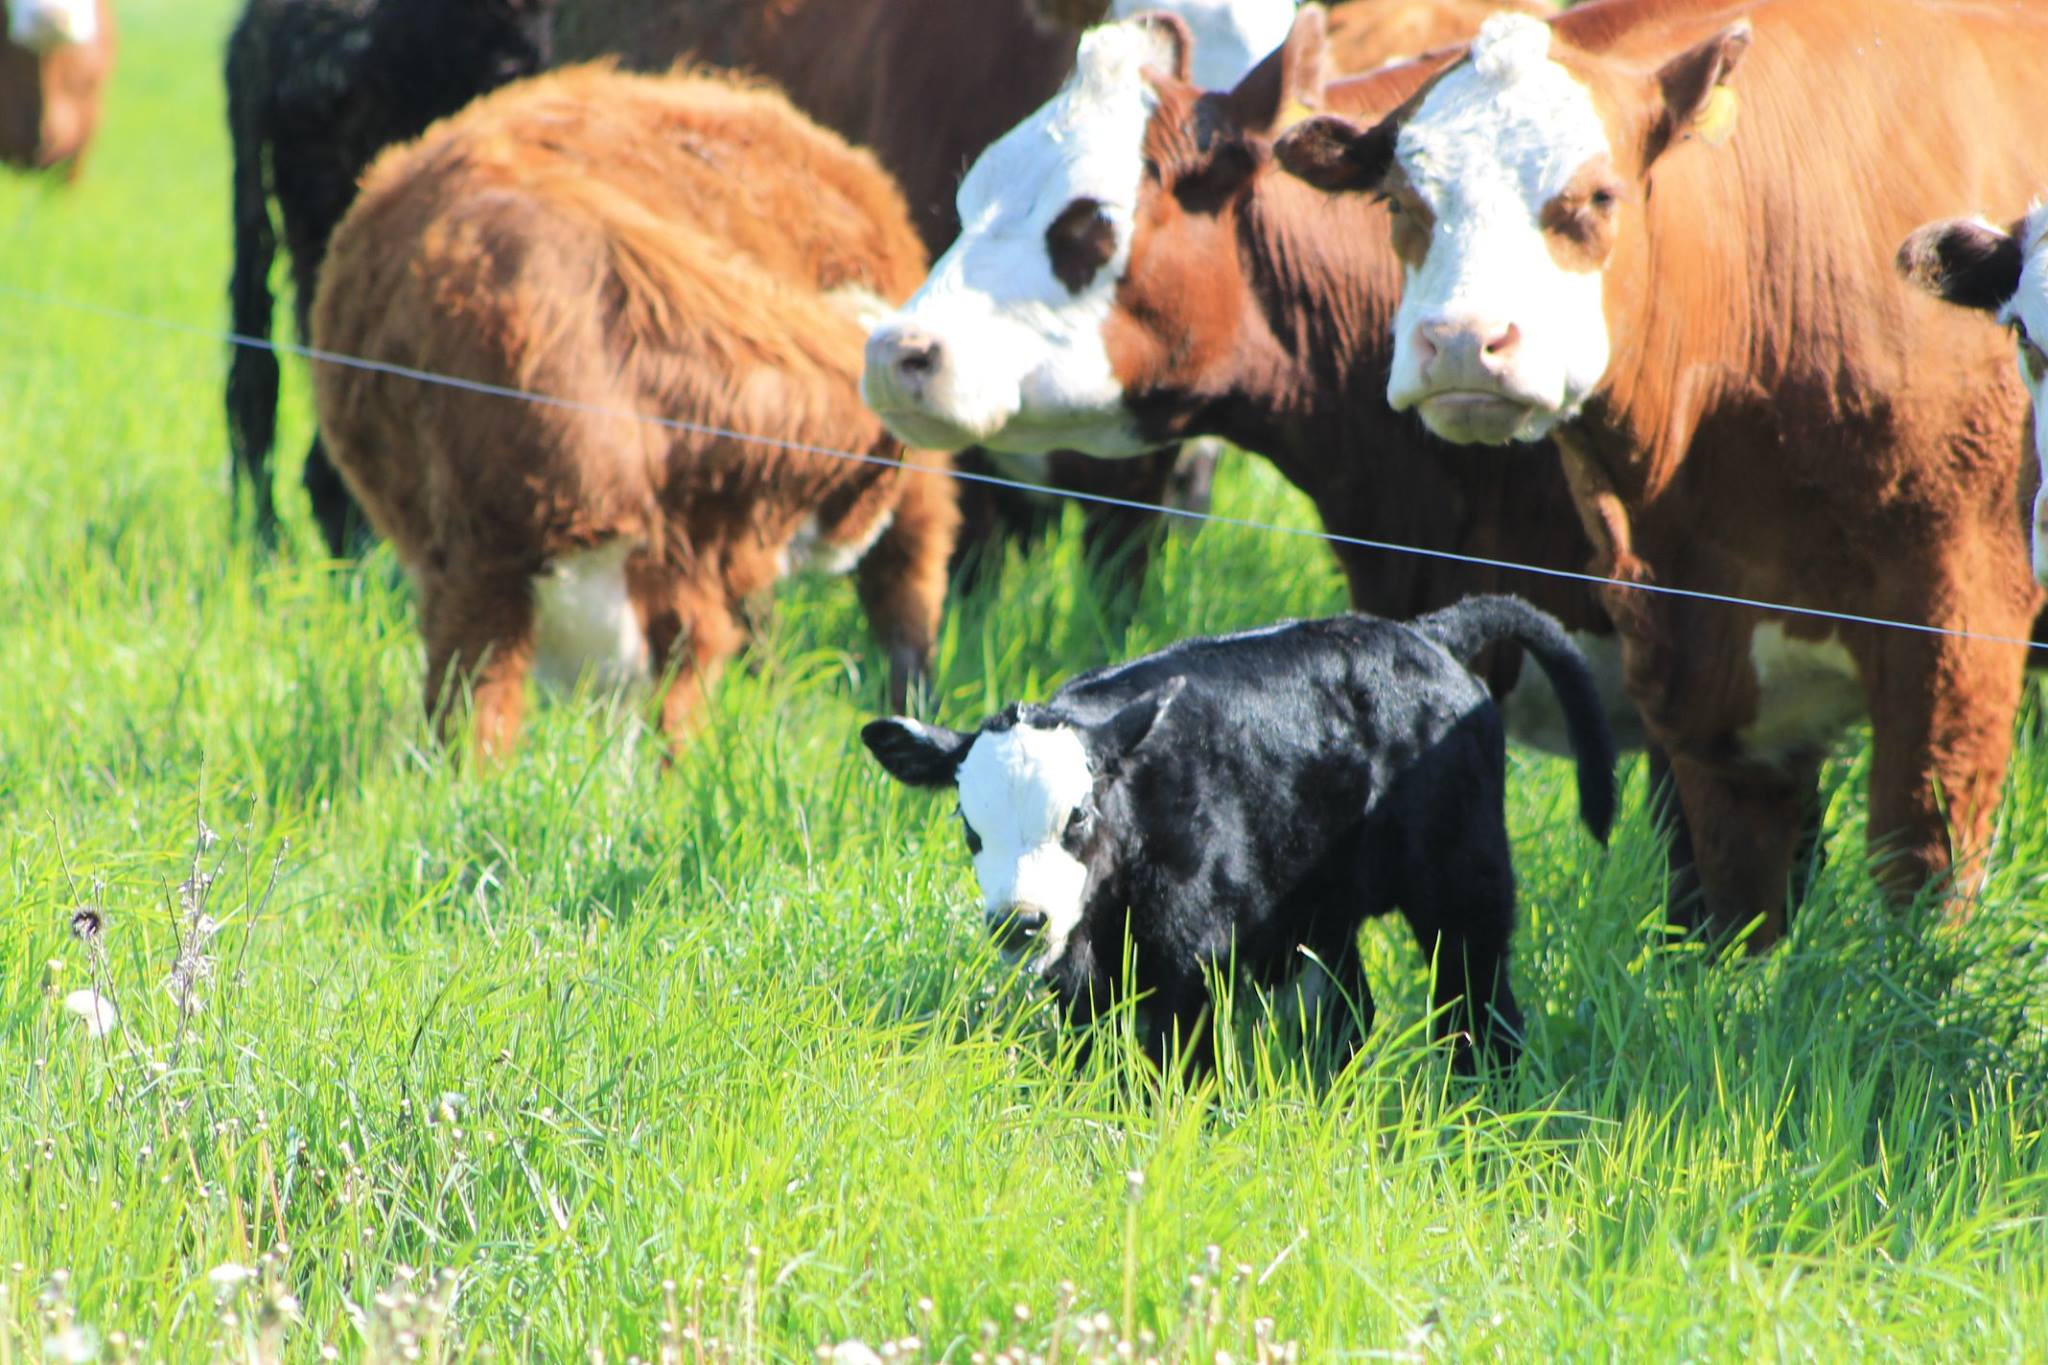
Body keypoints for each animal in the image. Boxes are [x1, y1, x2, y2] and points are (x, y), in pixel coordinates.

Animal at [862, 595, 1616, 1073]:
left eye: (1076, 816)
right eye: (970, 826)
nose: (1020, 920)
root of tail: (1425, 633)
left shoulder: (1191, 960)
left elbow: (1178, 1070)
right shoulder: (1079, 979)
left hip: (1465, 881)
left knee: (1481, 1011)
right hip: (1320, 911)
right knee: (1346, 1015)